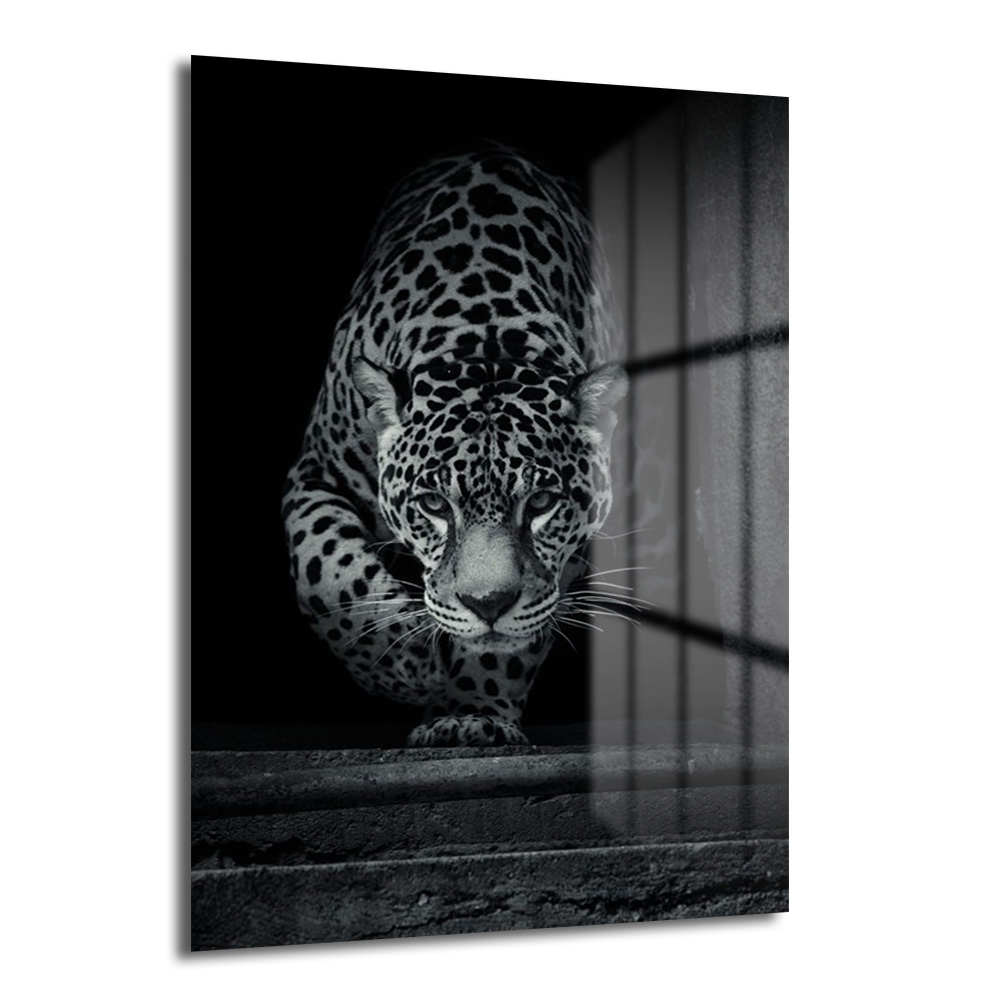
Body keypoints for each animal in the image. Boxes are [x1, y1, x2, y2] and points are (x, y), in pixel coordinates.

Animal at [283, 145, 628, 747]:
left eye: (541, 503)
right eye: (433, 505)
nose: (488, 604)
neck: (484, 333)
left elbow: (509, 643)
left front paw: (471, 713)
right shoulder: (314, 475)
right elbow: (326, 568)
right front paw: (406, 663)